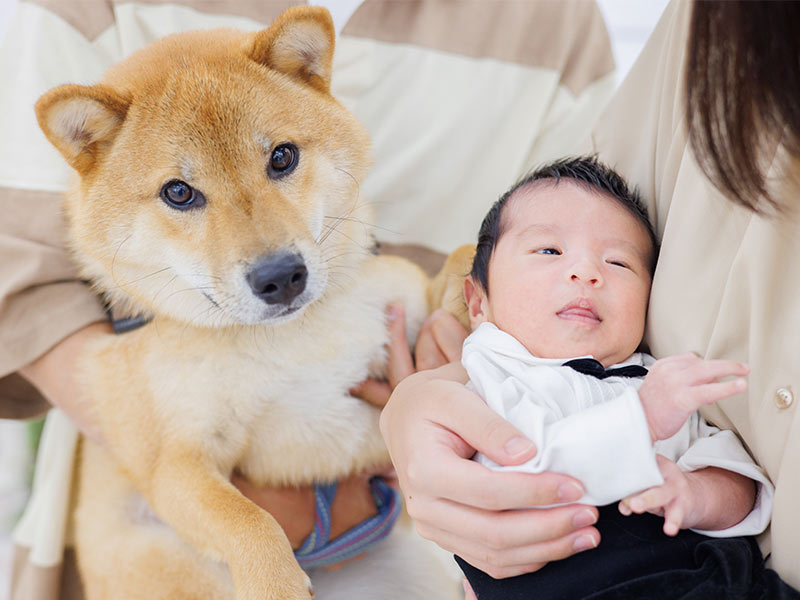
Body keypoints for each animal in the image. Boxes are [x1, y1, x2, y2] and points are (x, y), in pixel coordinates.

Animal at [34, 5, 440, 600]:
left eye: (282, 157)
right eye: (179, 192)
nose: (281, 277)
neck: (288, 340)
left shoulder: (406, 299)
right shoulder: (176, 465)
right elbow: (248, 521)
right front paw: (276, 582)